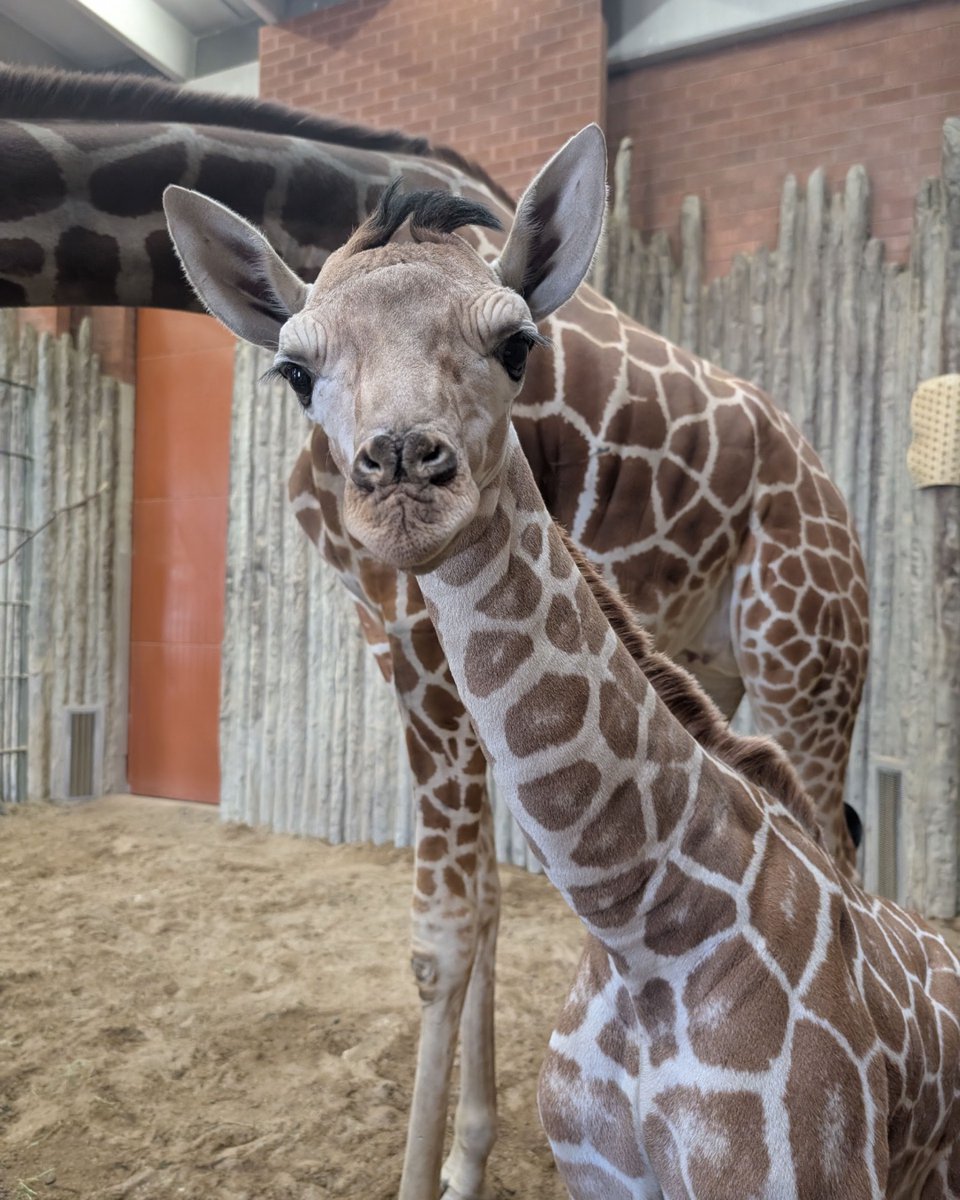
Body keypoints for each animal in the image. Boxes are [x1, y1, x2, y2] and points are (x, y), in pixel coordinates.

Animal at [166, 124, 960, 1199]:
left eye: (516, 343)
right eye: (294, 368)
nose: (404, 469)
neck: (645, 933)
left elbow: (447, 929)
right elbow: (469, 910)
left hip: (810, 652)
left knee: (839, 824)